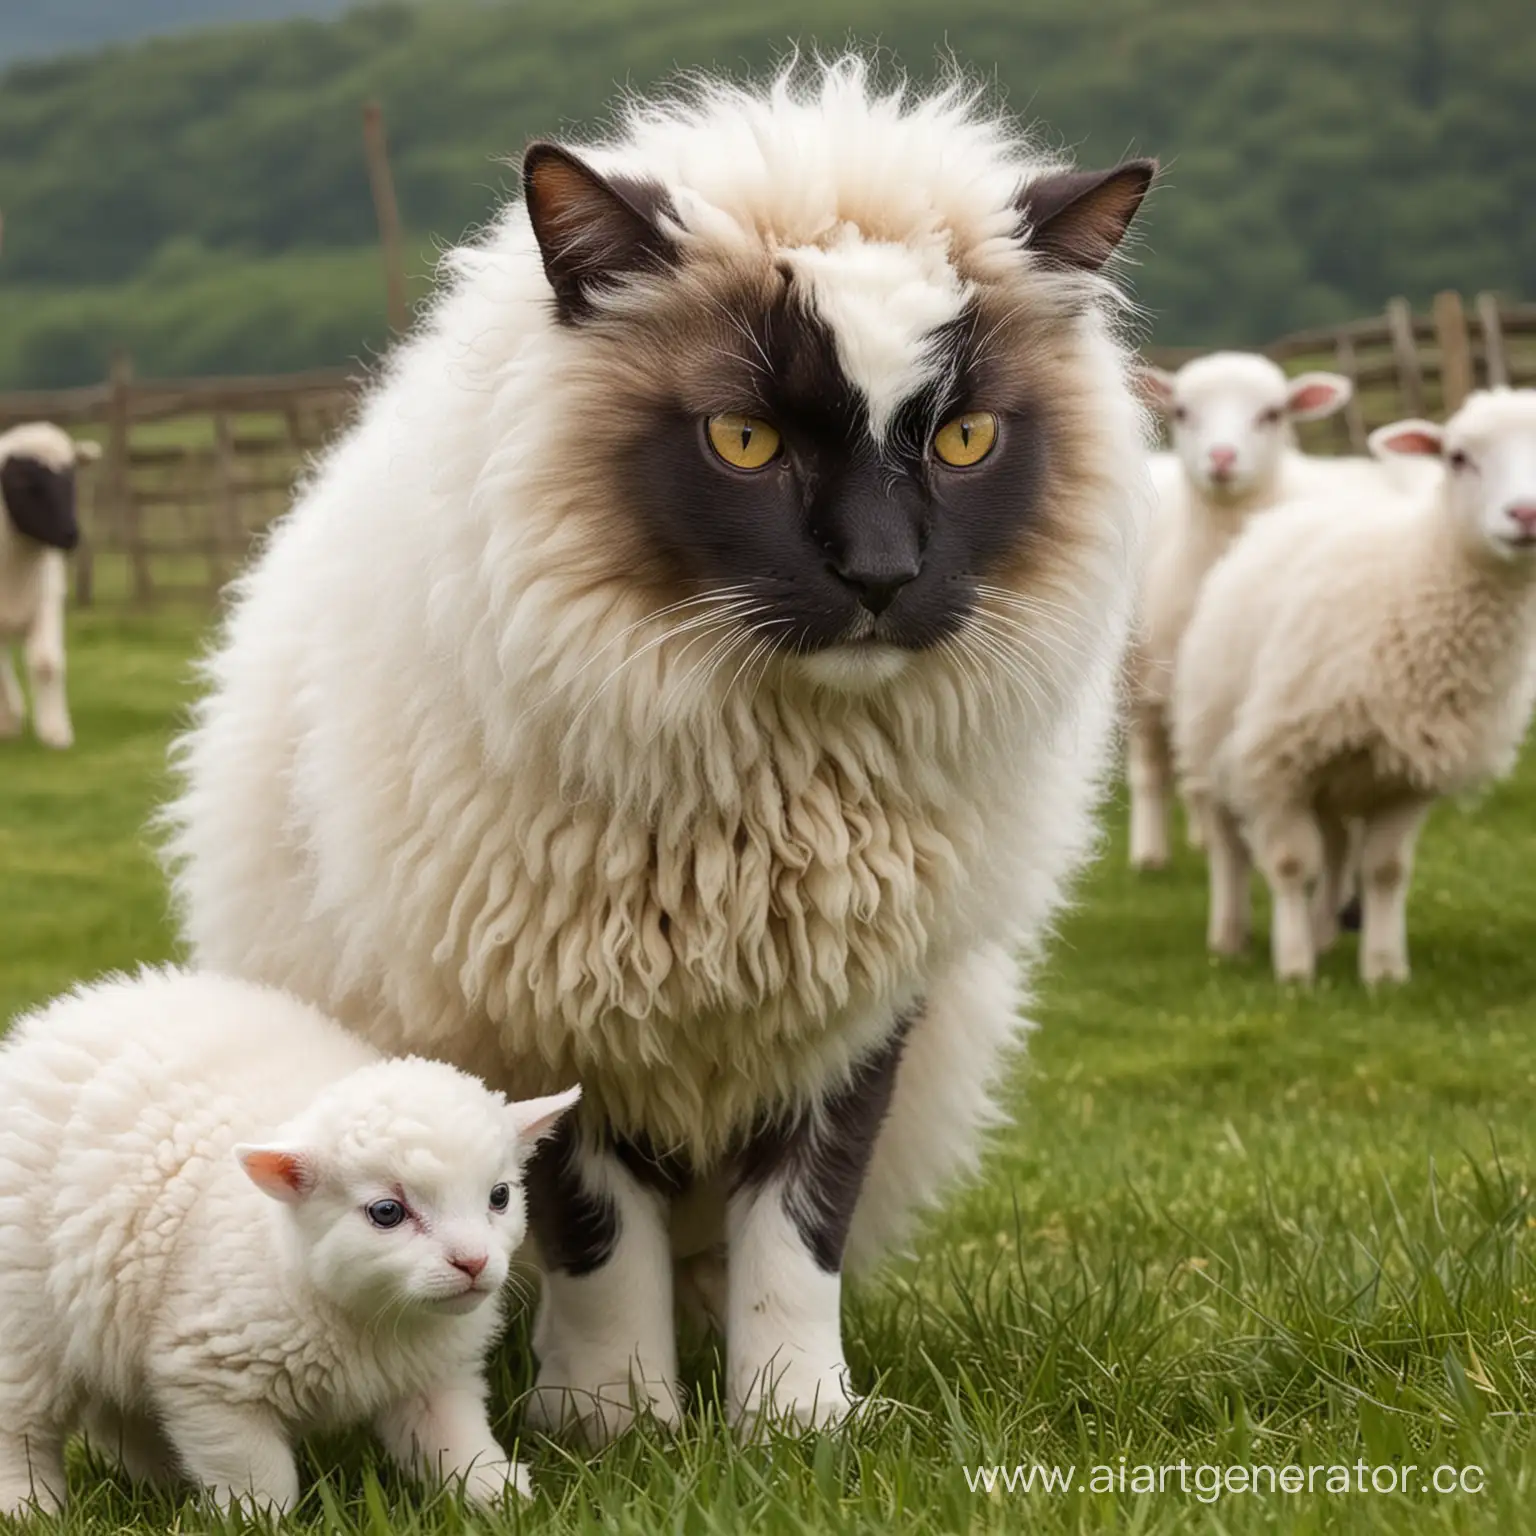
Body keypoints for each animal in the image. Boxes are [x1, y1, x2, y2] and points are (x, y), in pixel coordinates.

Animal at [0, 423, 99, 752]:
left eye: (71, 478)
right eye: (23, 481)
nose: (70, 535)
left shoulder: (47, 599)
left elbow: (46, 662)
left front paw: (56, 733)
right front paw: (8, 724)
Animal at [0, 970, 580, 1511]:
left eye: (500, 1196)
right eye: (387, 1212)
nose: (473, 1262)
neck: (370, 1320)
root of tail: (51, 1024)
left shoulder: (434, 1376)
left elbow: (457, 1444)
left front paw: (500, 1497)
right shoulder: (210, 1379)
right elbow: (259, 1476)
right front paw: (251, 1517)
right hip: (24, 1323)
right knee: (19, 1426)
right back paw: (29, 1507)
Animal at [1130, 351, 1437, 872]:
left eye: (1272, 413)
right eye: (1182, 412)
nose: (1222, 459)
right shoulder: (1158, 683)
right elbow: (1156, 772)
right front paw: (1154, 854)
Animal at [1173, 384, 1536, 983]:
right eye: (1458, 458)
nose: (1524, 514)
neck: (1416, 575)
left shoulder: (1409, 777)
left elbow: (1384, 870)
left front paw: (1384, 971)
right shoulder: (1277, 759)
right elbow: (1291, 864)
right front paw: (1294, 970)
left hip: (1340, 770)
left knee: (1338, 842)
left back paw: (1324, 931)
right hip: (1212, 733)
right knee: (1228, 844)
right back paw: (1230, 936)